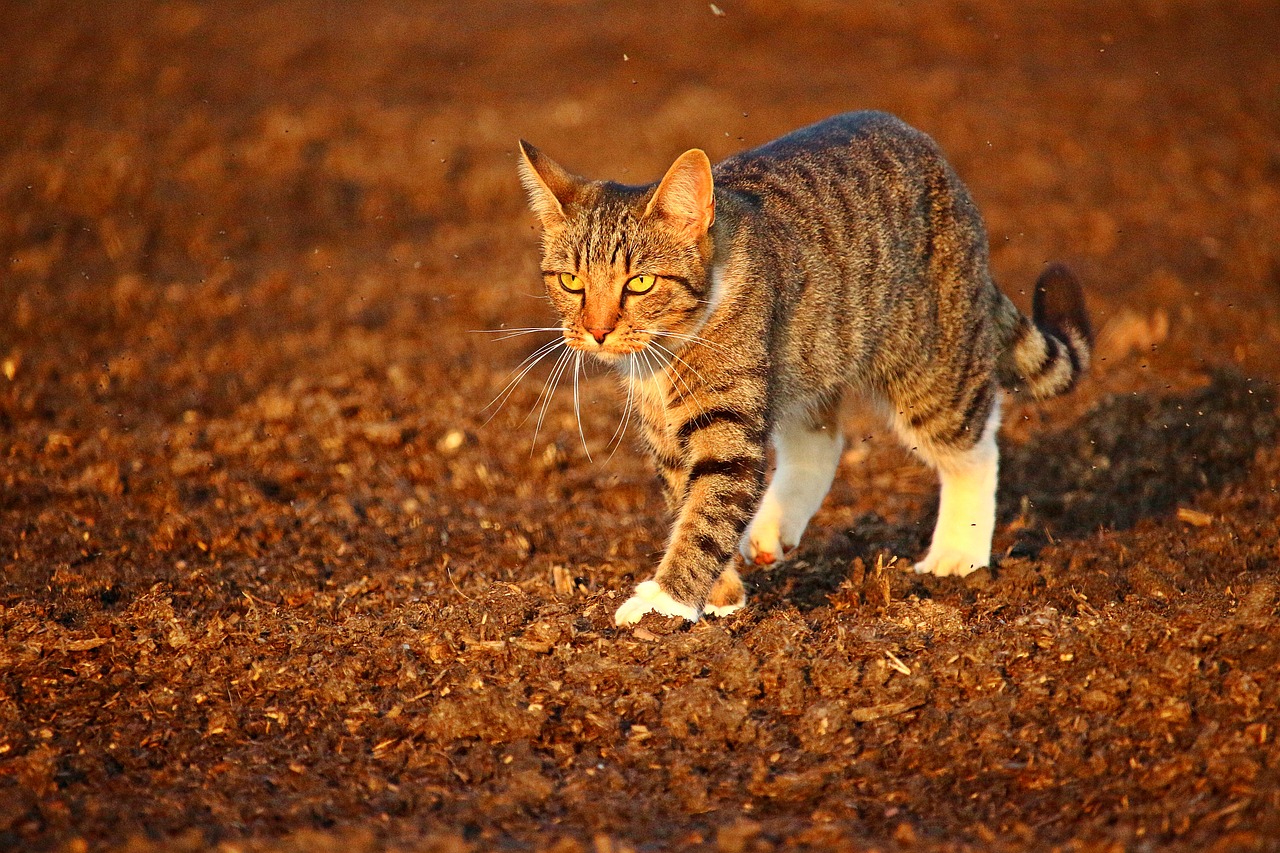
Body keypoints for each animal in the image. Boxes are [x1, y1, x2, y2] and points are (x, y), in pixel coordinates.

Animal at [514, 109, 1095, 625]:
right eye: (570, 282)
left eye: (639, 283)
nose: (596, 330)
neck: (665, 351)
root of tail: (939, 161)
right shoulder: (664, 430)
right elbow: (686, 500)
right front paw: (722, 595)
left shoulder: (728, 417)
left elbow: (709, 509)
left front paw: (665, 602)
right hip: (812, 352)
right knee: (822, 439)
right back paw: (774, 528)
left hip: (929, 358)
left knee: (974, 442)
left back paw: (959, 552)